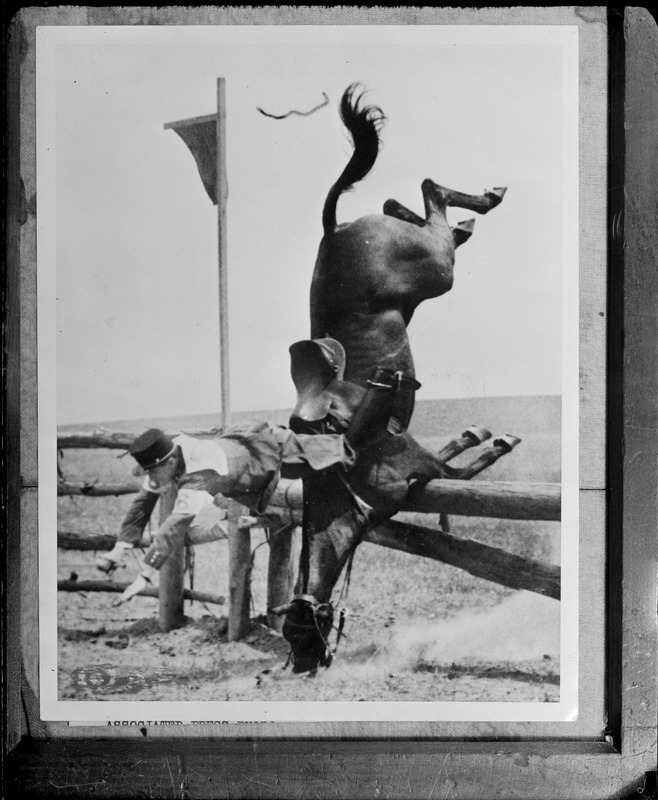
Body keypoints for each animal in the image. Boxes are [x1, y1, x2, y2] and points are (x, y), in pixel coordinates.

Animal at [278, 86, 508, 676]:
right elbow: (458, 456)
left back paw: (483, 202)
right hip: (430, 264)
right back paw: (467, 215)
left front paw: (496, 440)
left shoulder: (416, 470)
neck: (345, 489)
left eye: (300, 632)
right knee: (408, 203)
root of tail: (333, 228)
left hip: (438, 272)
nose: (306, 665)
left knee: (430, 193)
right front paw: (477, 434)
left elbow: (466, 469)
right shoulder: (420, 468)